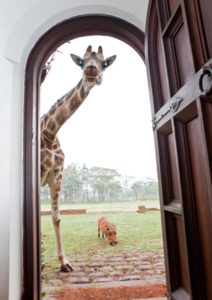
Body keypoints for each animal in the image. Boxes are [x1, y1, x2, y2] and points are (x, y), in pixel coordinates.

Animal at [40, 45, 117, 274]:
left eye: (104, 63)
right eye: (82, 61)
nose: (91, 70)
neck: (49, 132)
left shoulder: (56, 176)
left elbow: (56, 218)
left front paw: (64, 263)